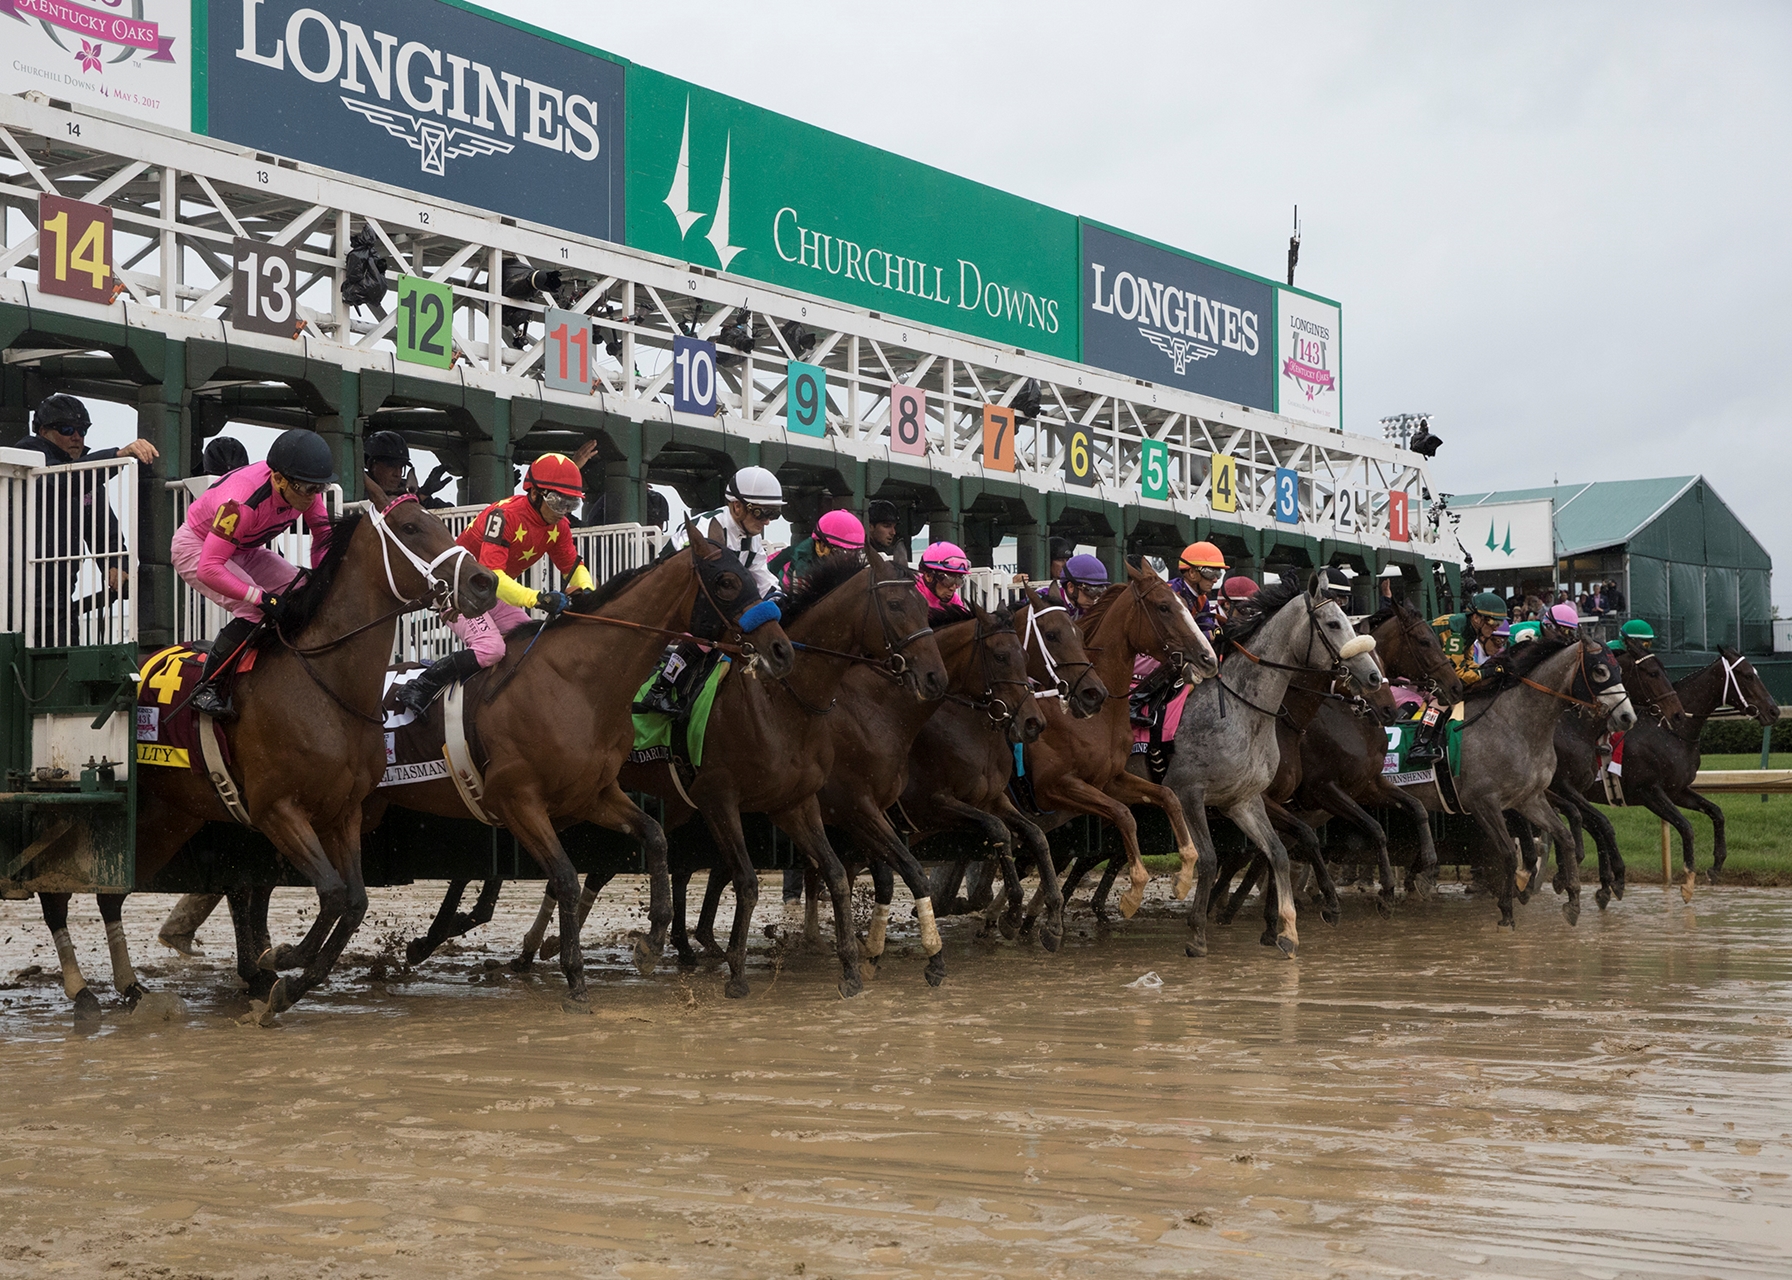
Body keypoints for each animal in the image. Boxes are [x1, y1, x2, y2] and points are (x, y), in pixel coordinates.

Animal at [38, 487, 498, 1018]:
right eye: (410, 527)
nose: (485, 583)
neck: (324, 685)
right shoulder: (276, 810)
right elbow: (332, 893)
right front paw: (279, 957)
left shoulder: (343, 813)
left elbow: (355, 901)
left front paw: (291, 984)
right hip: (99, 809)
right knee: (57, 890)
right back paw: (81, 990)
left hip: (164, 817)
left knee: (110, 895)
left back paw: (131, 987)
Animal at [378, 519, 792, 1003]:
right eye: (726, 581)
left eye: (756, 578)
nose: (782, 650)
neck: (578, 682)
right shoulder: (516, 800)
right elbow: (565, 877)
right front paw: (573, 972)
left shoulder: (592, 795)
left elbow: (654, 839)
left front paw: (651, 942)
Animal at [1161, 573, 1383, 953]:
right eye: (1333, 623)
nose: (1373, 677)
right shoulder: (1190, 791)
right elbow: (1212, 857)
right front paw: (1200, 928)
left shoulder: (1246, 799)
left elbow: (1276, 851)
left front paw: (1282, 928)